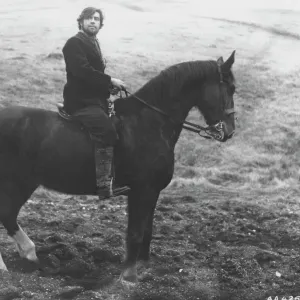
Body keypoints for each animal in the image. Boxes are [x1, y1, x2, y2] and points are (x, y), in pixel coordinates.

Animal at [0, 51, 236, 282]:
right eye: (230, 88)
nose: (229, 131)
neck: (150, 123)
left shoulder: (152, 192)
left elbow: (147, 229)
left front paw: (143, 265)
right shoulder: (142, 191)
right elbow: (135, 233)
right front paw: (129, 276)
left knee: (9, 216)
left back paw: (29, 255)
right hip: (17, 183)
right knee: (7, 214)